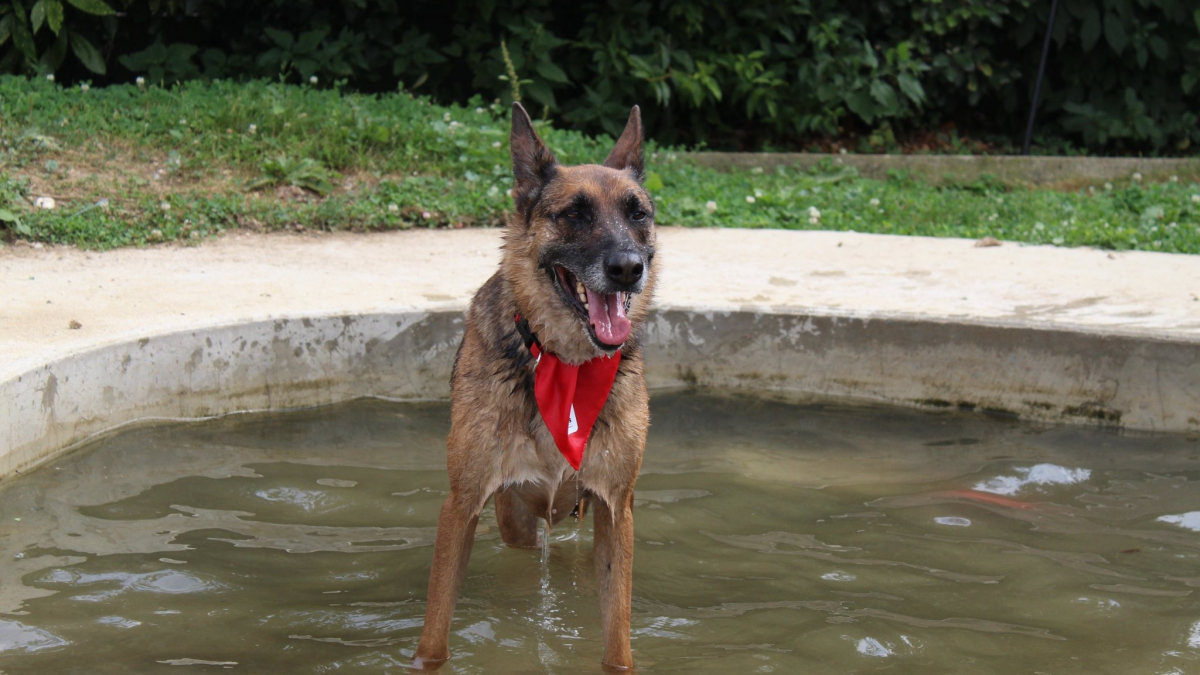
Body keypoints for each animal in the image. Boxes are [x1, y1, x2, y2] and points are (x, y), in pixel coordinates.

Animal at [412, 100, 657, 667]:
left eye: (638, 214)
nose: (628, 268)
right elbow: (435, 631)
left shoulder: (616, 510)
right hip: (516, 519)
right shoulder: (462, 505)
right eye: (575, 214)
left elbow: (617, 636)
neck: (565, 363)